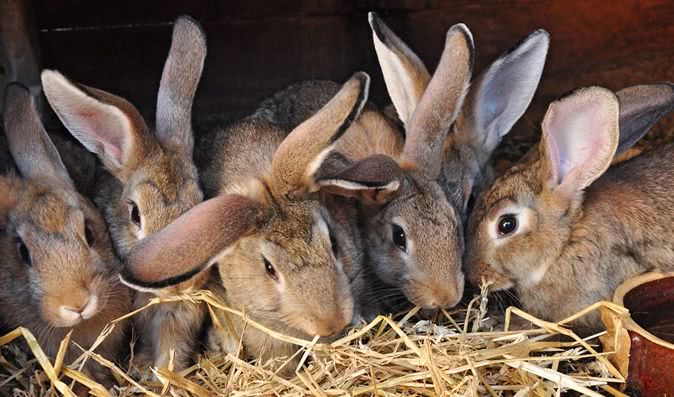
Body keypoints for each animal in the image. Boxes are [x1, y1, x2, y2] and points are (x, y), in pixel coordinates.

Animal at [39, 15, 206, 372]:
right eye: (135, 215)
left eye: (200, 202)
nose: (182, 282)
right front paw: (143, 367)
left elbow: (172, 350)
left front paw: (163, 375)